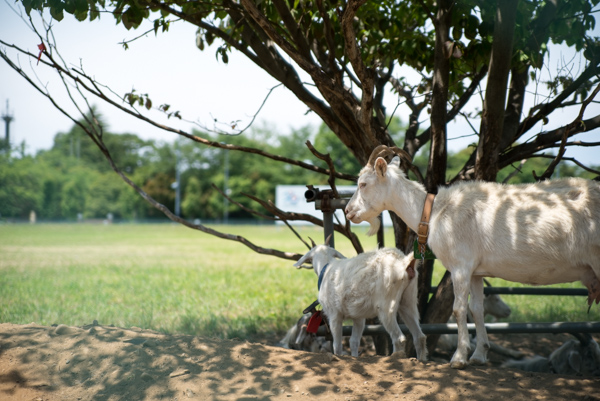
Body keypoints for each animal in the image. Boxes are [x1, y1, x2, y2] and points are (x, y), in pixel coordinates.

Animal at [344, 145, 600, 368]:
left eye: (363, 183)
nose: (348, 211)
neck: (434, 212)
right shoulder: (477, 271)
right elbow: (477, 309)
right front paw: (479, 356)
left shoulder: (461, 266)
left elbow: (458, 309)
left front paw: (459, 358)